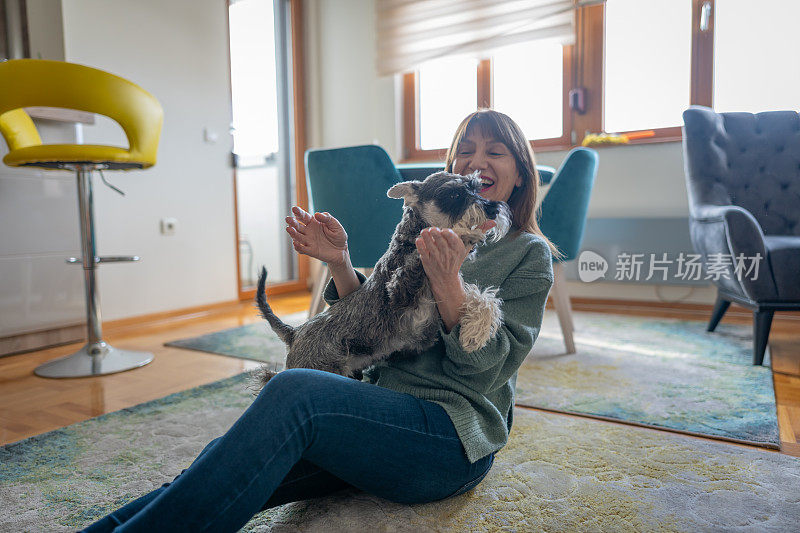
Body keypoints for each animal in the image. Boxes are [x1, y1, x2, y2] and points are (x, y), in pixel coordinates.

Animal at [253, 172, 510, 384]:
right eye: (454, 194)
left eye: (477, 188)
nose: (493, 209)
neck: (406, 242)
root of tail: (294, 333)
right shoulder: (399, 290)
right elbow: (427, 247)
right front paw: (464, 233)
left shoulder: (430, 322)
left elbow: (482, 298)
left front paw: (474, 333)